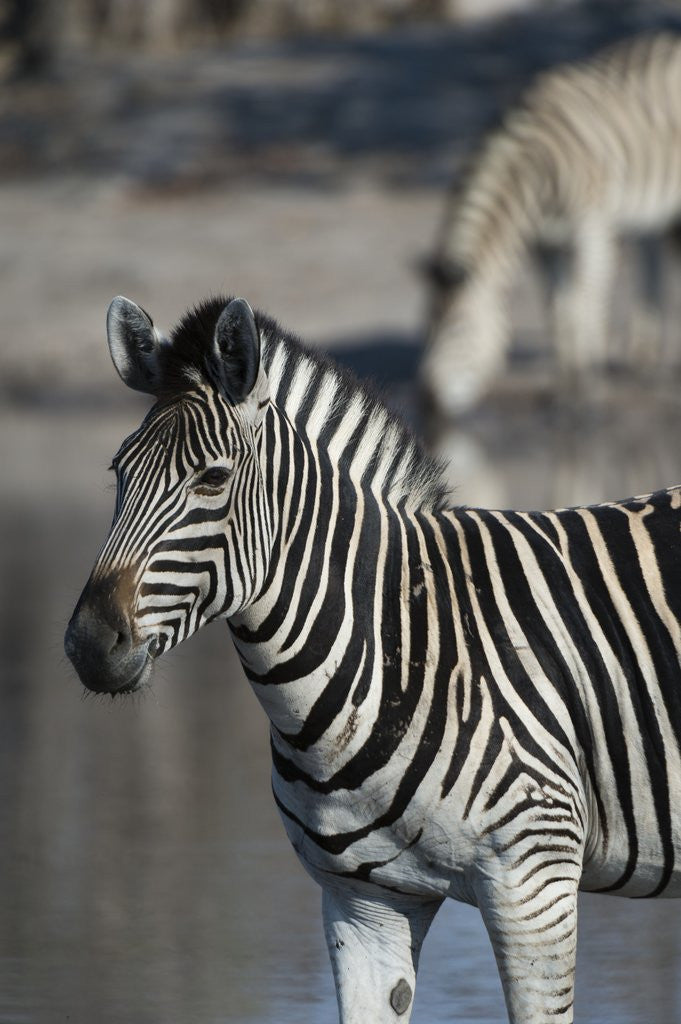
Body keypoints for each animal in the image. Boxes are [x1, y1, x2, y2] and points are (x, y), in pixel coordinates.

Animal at [65, 293, 681, 1024]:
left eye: (212, 480)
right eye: (118, 473)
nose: (88, 644)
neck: (398, 647)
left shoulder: (535, 884)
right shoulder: (365, 903)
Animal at [421, 30, 681, 417]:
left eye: (459, 329)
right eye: (424, 328)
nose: (427, 404)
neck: (533, 173)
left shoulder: (592, 229)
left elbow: (585, 306)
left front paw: (589, 390)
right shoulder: (545, 244)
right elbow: (559, 313)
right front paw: (564, 390)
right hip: (651, 208)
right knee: (650, 257)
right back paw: (643, 355)